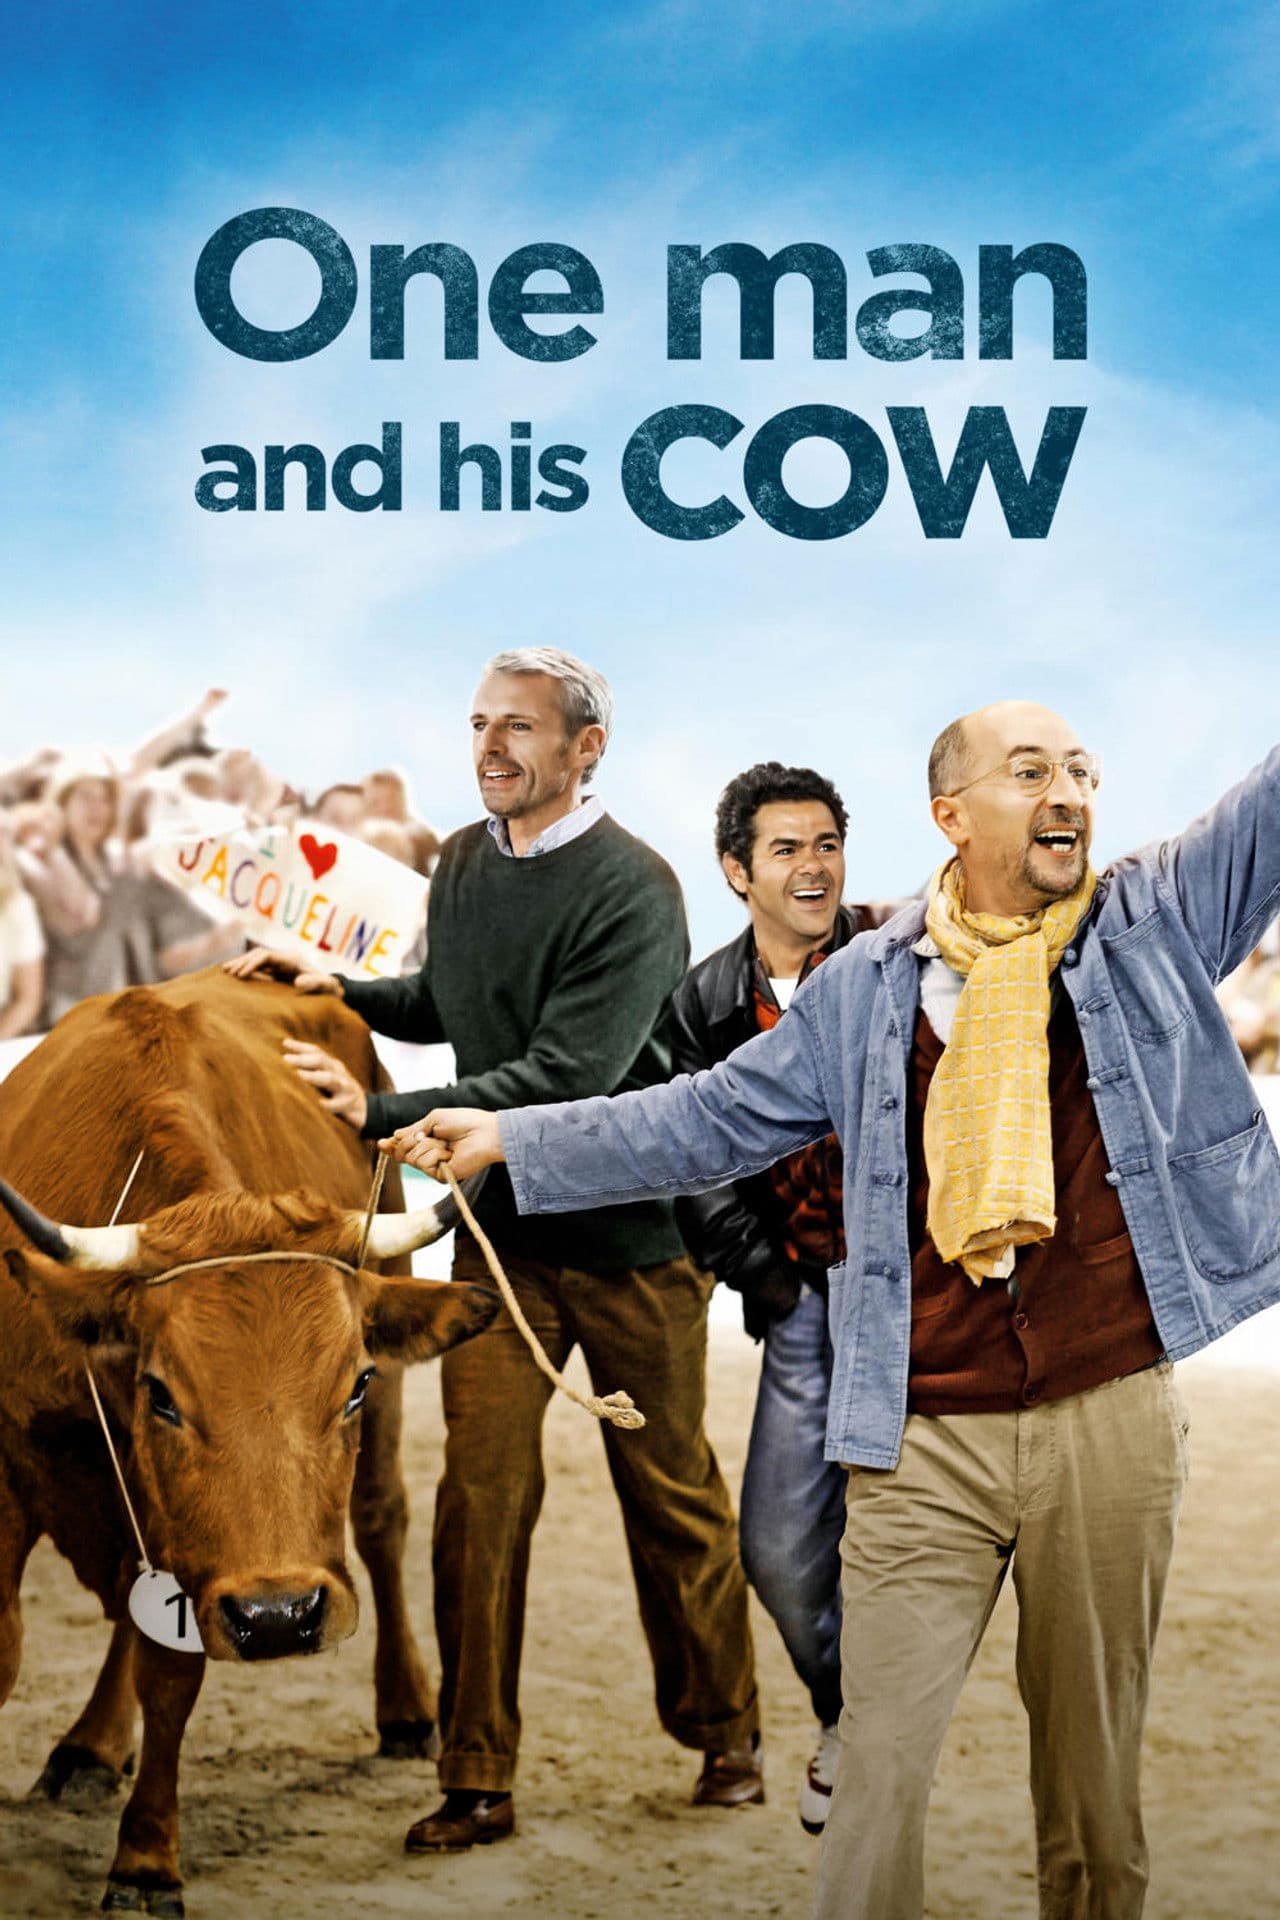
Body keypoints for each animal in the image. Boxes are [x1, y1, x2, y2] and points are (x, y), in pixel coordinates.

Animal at [0, 967, 498, 1916]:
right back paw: (90, 1746)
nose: (280, 1616)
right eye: (160, 1394)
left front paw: (145, 1860)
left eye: (354, 1383)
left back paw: (408, 1709)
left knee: (381, 1522)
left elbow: (171, 1670)